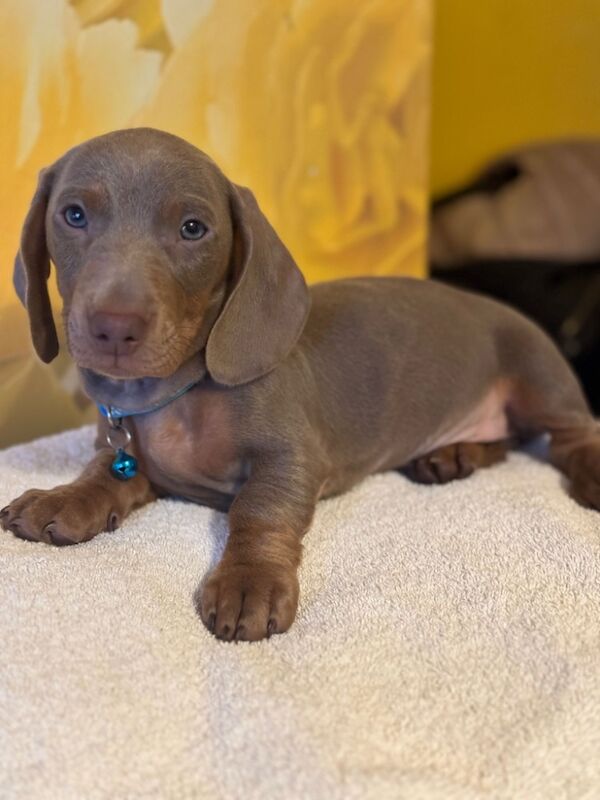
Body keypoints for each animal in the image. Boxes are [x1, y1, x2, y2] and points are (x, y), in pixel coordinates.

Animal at [2, 131, 596, 644]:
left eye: (193, 228)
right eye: (73, 215)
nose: (114, 327)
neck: (172, 396)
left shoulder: (292, 457)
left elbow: (258, 508)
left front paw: (250, 581)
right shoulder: (131, 453)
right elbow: (106, 471)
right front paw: (65, 496)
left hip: (539, 374)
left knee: (570, 434)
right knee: (510, 439)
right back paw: (455, 453)